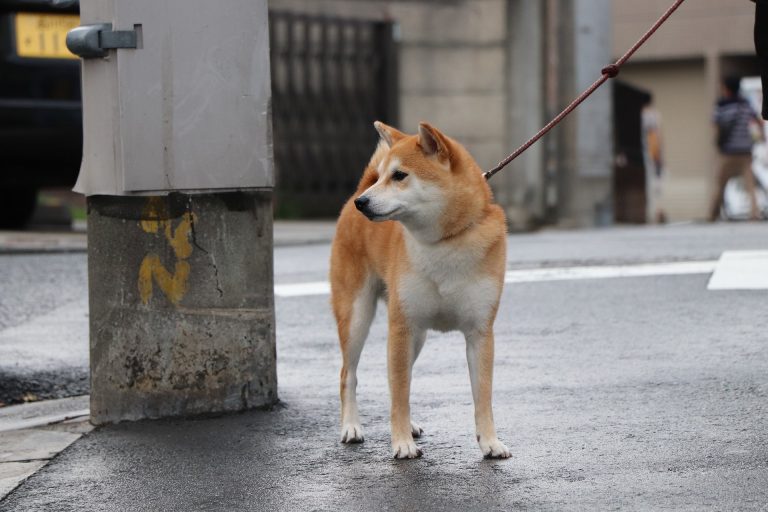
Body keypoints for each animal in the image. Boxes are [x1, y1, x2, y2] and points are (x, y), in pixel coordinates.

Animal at [330, 121, 510, 460]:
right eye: (384, 175)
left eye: (399, 175)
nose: (363, 203)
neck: (445, 243)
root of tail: (356, 190)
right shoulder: (401, 326)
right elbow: (400, 393)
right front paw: (401, 443)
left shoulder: (480, 332)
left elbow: (483, 395)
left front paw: (490, 441)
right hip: (358, 316)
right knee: (350, 374)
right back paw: (352, 426)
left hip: (418, 337)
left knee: (400, 379)